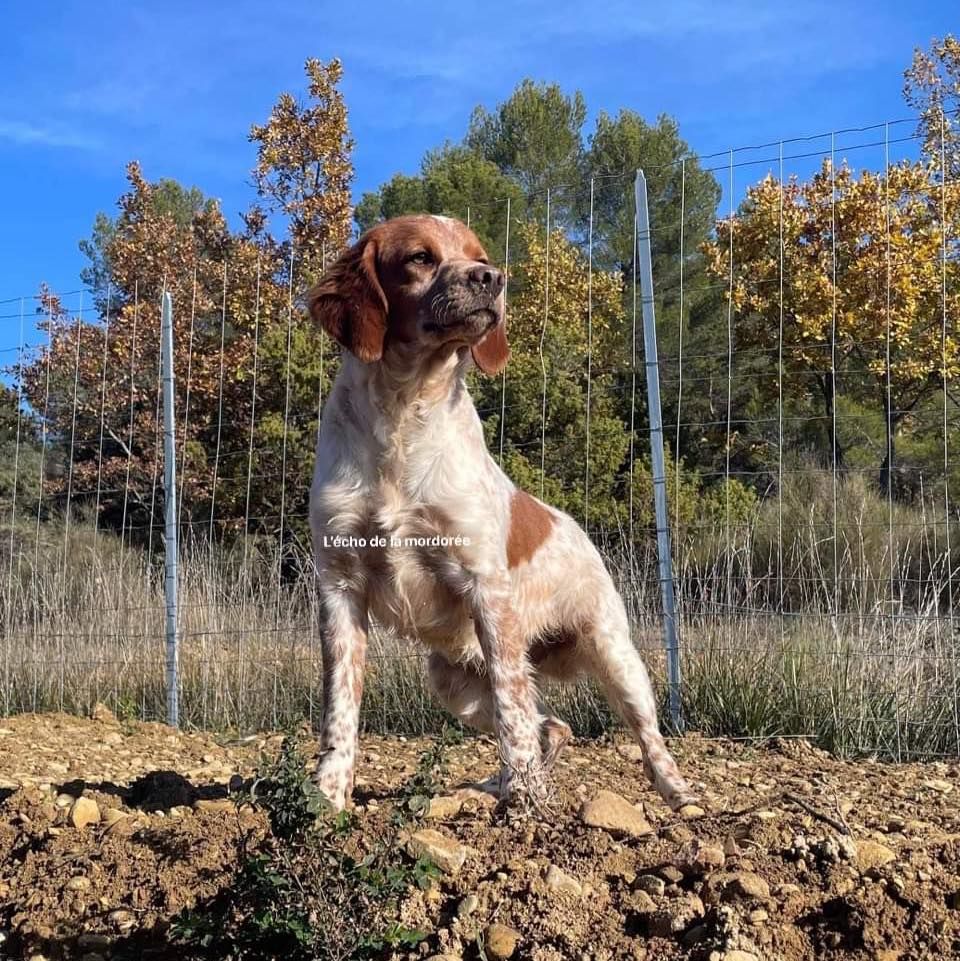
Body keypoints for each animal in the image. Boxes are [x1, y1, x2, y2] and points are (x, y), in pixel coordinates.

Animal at [306, 216, 688, 808]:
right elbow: (340, 706)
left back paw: (677, 795)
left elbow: (513, 710)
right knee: (552, 723)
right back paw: (498, 783)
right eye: (420, 257)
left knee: (642, 735)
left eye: (480, 256)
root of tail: (573, 524)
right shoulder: (340, 585)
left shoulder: (484, 587)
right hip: (452, 680)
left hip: (614, 655)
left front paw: (525, 801)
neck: (403, 412)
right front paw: (328, 795)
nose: (491, 279)